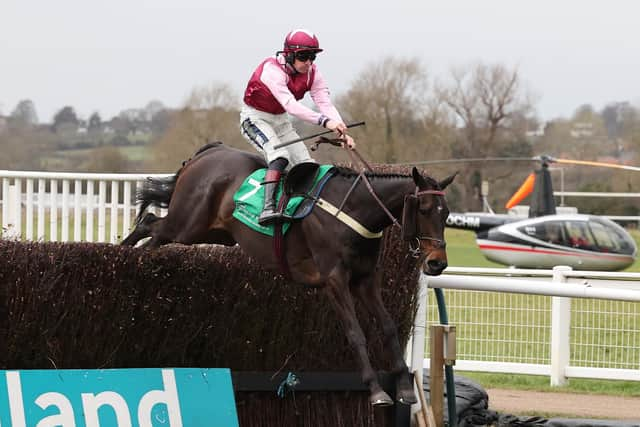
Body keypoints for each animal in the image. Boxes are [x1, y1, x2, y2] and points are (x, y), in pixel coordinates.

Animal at [121, 142, 456, 406]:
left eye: (447, 213)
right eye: (424, 209)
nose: (437, 263)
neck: (353, 210)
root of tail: (206, 153)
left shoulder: (365, 278)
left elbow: (387, 327)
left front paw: (404, 388)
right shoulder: (334, 279)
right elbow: (356, 333)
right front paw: (376, 390)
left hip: (213, 233)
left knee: (152, 235)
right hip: (187, 223)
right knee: (151, 224)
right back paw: (123, 255)